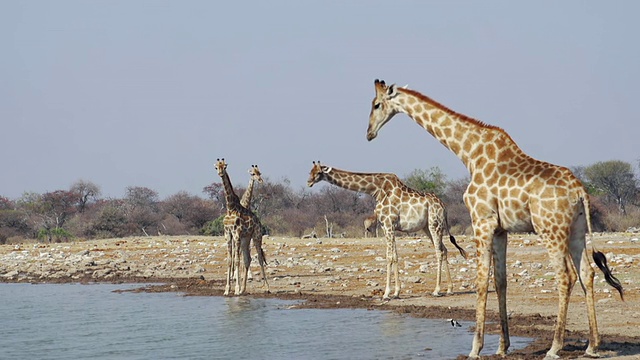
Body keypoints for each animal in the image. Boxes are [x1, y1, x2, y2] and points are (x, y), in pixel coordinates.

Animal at [212, 158, 268, 296]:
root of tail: (259, 222)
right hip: (246, 239)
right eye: (217, 167)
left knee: (259, 258)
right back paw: (243, 289)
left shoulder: (236, 233)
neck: (230, 207)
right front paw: (227, 289)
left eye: (224, 167)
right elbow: (230, 260)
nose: (220, 174)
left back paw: (267, 287)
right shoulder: (228, 233)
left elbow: (237, 260)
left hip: (256, 236)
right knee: (248, 259)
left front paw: (236, 289)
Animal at [304, 162, 464, 300]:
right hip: (428, 227)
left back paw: (437, 290)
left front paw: (387, 293)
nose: (308, 182)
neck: (376, 190)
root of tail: (444, 206)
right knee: (444, 250)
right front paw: (396, 292)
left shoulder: (388, 224)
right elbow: (394, 256)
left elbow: (390, 257)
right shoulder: (385, 226)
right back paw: (449, 289)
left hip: (434, 225)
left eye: (318, 172)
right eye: (310, 171)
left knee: (439, 252)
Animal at [368, 80, 624, 358]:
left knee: (565, 276)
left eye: (376, 104)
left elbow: (481, 281)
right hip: (577, 229)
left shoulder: (482, 221)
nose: (369, 133)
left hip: (550, 229)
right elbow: (500, 281)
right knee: (587, 273)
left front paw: (475, 348)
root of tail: (580, 191)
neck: (470, 154)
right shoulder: (501, 229)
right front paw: (503, 346)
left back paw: (555, 347)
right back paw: (592, 345)